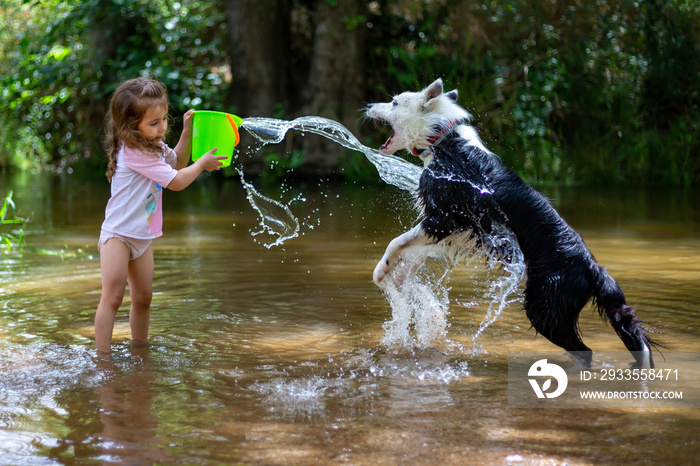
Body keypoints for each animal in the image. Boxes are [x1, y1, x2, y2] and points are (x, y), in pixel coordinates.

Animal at [366, 78, 656, 368]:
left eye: (394, 102)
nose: (368, 105)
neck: (443, 139)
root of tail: (593, 267)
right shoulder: (459, 228)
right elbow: (415, 252)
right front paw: (401, 279)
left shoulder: (446, 216)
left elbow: (396, 242)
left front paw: (382, 271)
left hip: (545, 309)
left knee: (585, 350)